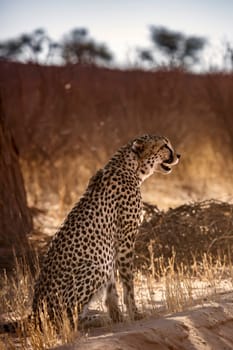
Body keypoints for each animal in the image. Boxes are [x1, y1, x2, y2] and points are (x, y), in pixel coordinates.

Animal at [31, 134, 180, 328]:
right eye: (164, 146)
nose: (178, 155)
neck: (131, 168)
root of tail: (34, 312)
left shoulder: (111, 249)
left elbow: (112, 287)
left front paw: (117, 317)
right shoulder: (125, 241)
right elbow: (128, 283)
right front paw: (135, 314)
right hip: (95, 267)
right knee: (64, 320)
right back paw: (96, 319)